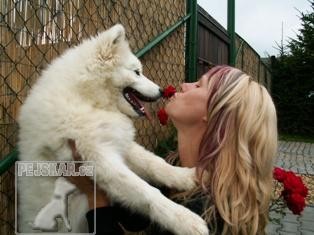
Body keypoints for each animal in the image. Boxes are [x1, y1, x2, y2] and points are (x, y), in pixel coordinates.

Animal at [16, 24, 209, 235]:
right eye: (136, 72)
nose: (160, 91)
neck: (88, 100)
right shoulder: (98, 158)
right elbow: (145, 190)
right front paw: (185, 220)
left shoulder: (118, 142)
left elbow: (154, 163)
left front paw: (186, 176)